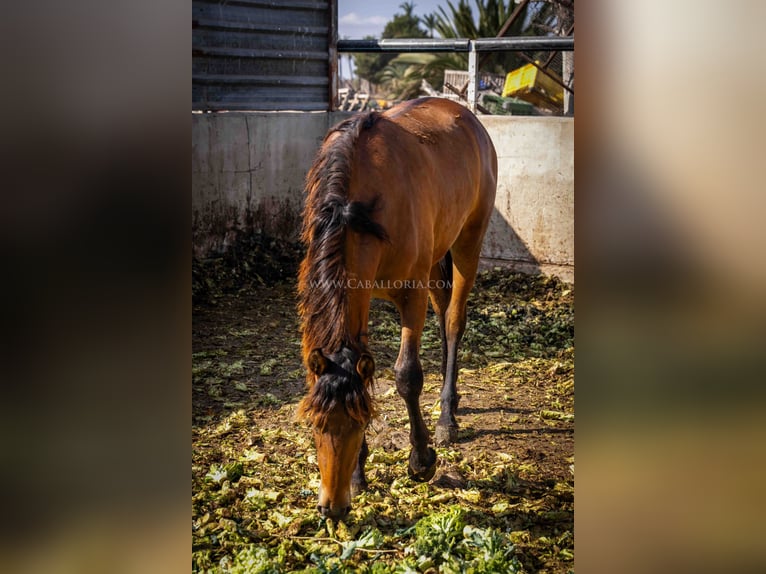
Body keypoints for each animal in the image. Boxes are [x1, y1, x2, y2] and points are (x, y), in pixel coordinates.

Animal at [294, 97, 498, 520]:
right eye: (316, 424)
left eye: (359, 423)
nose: (332, 508)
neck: (356, 210)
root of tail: (467, 116)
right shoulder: (361, 294)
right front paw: (359, 474)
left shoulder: (410, 295)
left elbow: (407, 376)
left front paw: (421, 461)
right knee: (444, 317)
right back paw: (451, 400)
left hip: (467, 243)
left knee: (453, 322)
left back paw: (447, 418)